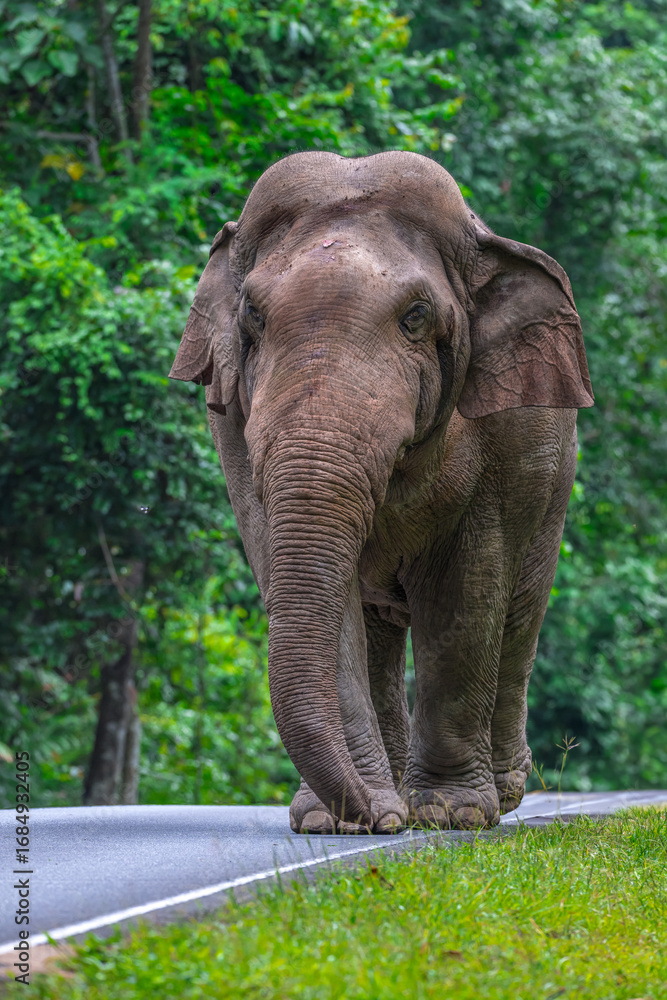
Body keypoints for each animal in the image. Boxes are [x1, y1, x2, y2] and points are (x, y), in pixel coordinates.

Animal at [169, 151, 593, 834]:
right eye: (252, 317)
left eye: (415, 317)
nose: (381, 820)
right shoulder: (231, 421)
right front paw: (335, 822)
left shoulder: (499, 447)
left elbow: (466, 590)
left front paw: (449, 814)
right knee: (380, 631)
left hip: (555, 480)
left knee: (519, 614)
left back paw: (499, 794)